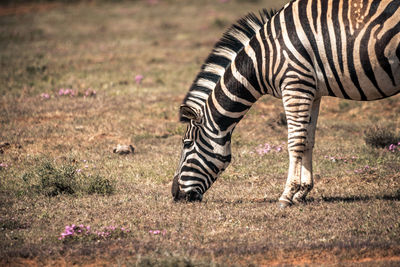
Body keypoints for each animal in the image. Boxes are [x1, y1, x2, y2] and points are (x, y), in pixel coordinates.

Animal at [172, 0, 400, 207]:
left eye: (187, 143)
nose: (175, 194)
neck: (263, 59)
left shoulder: (295, 85)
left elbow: (295, 141)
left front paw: (287, 195)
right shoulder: (312, 91)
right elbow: (308, 140)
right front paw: (302, 193)